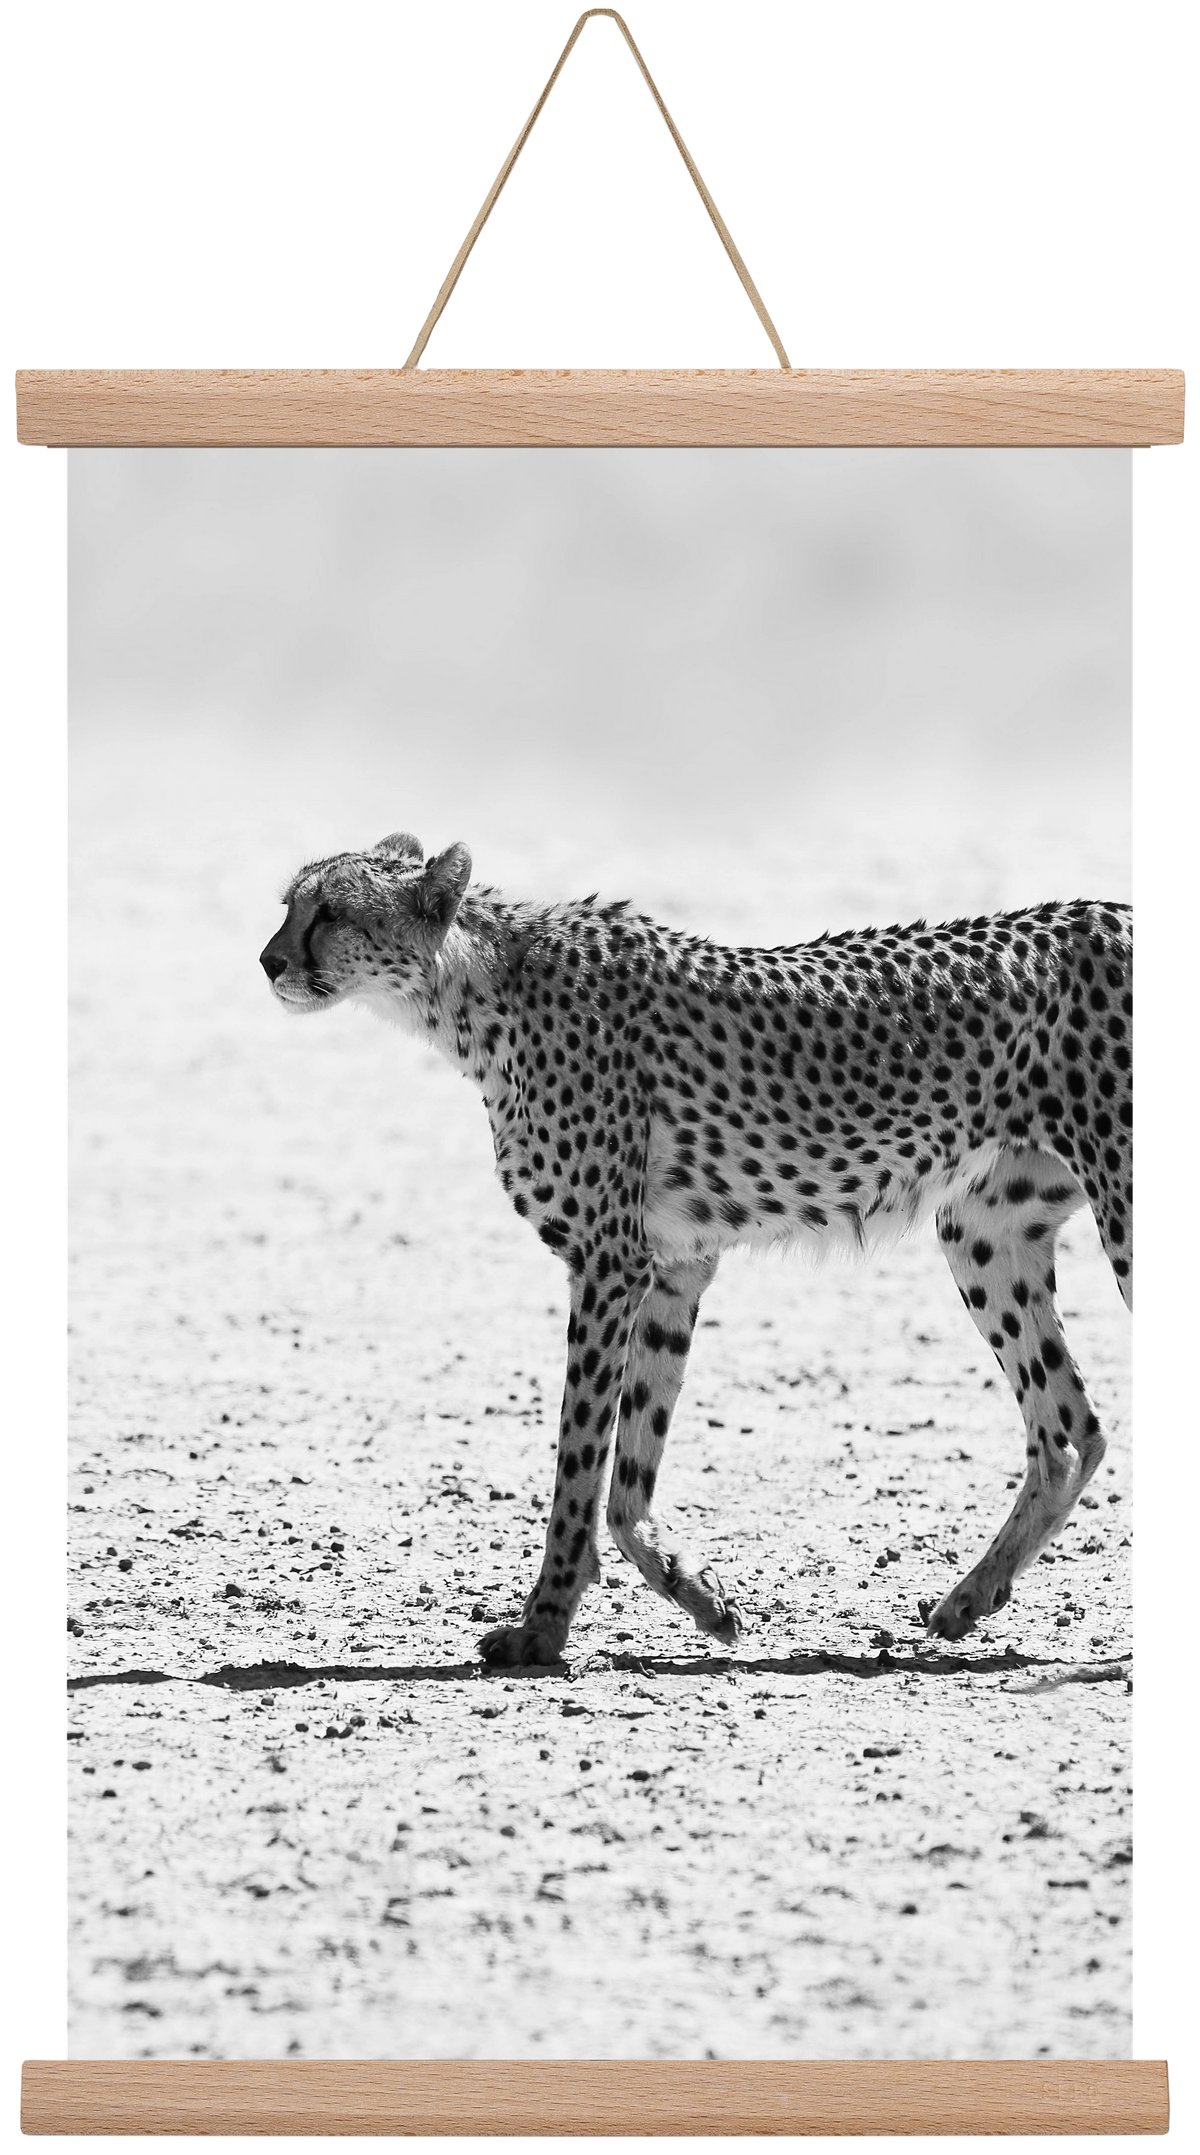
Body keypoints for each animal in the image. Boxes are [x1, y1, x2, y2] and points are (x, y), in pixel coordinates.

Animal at [260, 832, 1136, 1669]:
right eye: (288, 904)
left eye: (331, 911)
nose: (269, 960)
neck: (473, 989)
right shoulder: (674, 1265)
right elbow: (628, 1474)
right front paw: (701, 1596)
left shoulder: (608, 1262)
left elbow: (579, 1461)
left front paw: (542, 1627)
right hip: (984, 1232)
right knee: (1069, 1429)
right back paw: (969, 1598)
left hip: (1120, 1216)